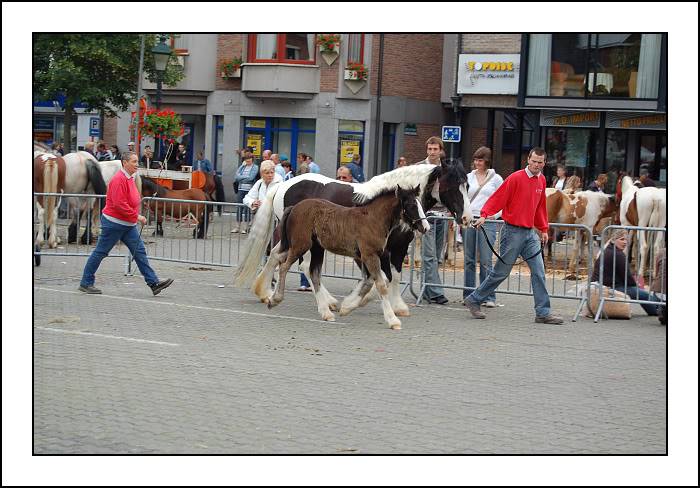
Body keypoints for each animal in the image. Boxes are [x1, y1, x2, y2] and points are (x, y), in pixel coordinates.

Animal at [234, 158, 470, 314]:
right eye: (452, 186)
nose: (467, 218)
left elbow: (389, 277)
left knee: (277, 255)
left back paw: (266, 292)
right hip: (303, 240)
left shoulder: (395, 249)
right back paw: (325, 302)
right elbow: (384, 278)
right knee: (303, 266)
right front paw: (358, 302)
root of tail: (282, 184)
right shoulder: (382, 251)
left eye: (467, 185)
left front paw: (389, 305)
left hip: (293, 238)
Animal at [264, 185, 430, 330]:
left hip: (315, 248)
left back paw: (326, 312)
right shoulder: (369, 256)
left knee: (310, 272)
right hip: (300, 245)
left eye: (420, 204)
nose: (426, 227)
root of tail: (294, 207)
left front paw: (347, 306)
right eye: (411, 205)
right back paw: (274, 299)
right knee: (284, 266)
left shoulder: (375, 256)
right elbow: (381, 285)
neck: (373, 219)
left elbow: (373, 282)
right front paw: (392, 320)